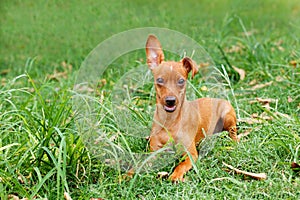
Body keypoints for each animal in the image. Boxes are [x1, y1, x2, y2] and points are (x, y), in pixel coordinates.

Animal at [145, 35, 239, 182]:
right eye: (159, 80)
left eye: (181, 81)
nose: (170, 101)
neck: (170, 121)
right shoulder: (153, 152)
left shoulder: (190, 155)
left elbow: (180, 165)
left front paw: (175, 176)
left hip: (228, 117)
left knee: (233, 133)